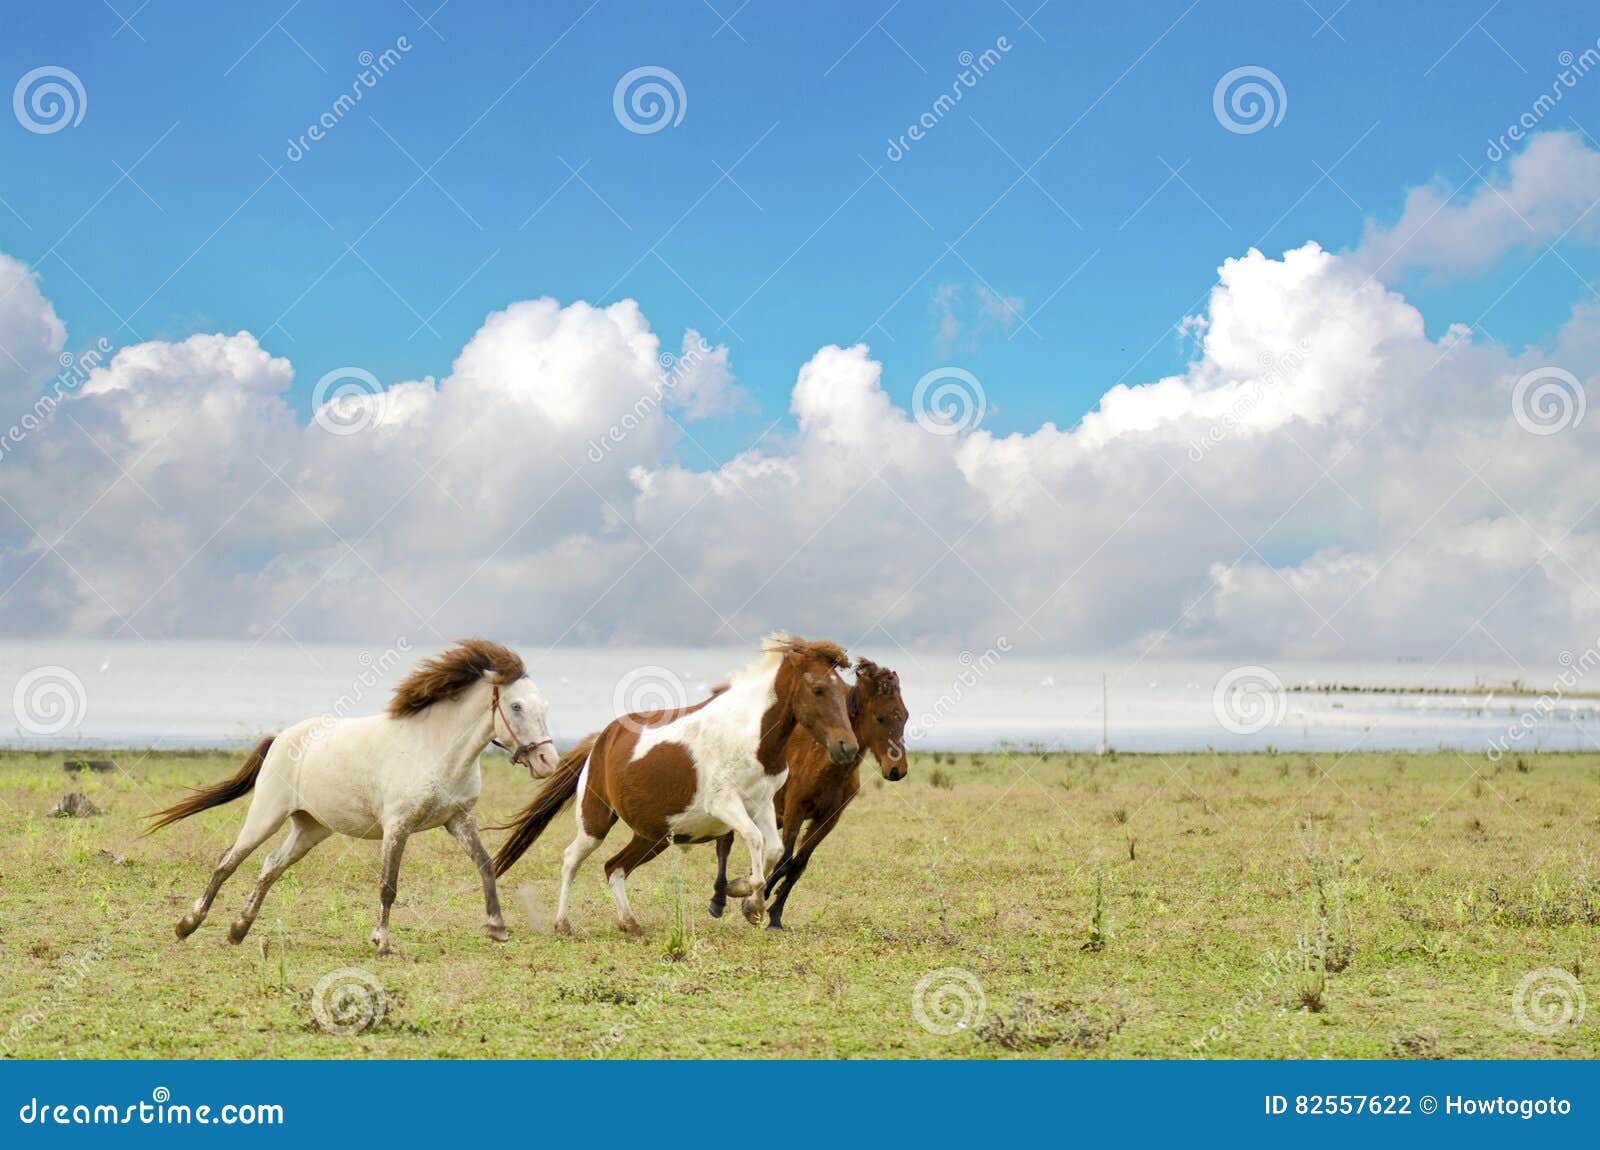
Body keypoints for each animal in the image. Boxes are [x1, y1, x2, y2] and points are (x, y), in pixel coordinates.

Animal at [146, 639, 560, 954]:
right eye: (516, 706)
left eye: (544, 707)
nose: (548, 762)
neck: (436, 747)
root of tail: (281, 738)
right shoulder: (398, 826)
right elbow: (388, 885)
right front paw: (382, 941)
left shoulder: (458, 818)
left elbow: (486, 864)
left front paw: (497, 927)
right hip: (267, 814)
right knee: (228, 861)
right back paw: (188, 924)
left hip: (311, 829)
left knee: (270, 866)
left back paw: (238, 929)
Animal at [492, 635, 857, 935]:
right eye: (818, 689)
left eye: (845, 691)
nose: (847, 747)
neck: (750, 735)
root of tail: (601, 740)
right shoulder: (724, 803)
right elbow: (754, 840)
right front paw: (745, 895)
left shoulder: (763, 802)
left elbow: (775, 849)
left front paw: (746, 899)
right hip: (595, 821)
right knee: (572, 859)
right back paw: (562, 923)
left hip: (653, 835)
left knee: (614, 867)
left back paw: (630, 923)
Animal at [708, 656, 908, 928]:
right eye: (880, 718)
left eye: (905, 716)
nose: (898, 769)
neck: (824, 761)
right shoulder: (795, 811)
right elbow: (784, 859)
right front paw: (754, 901)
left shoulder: (827, 820)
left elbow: (797, 865)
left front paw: (775, 915)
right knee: (724, 844)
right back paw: (718, 899)